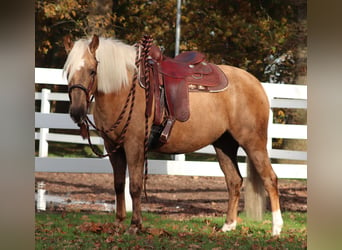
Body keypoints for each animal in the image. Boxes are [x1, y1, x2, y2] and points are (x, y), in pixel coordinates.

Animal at [63, 34, 284, 235]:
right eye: (67, 72)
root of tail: (255, 83)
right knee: (234, 181)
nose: (76, 112)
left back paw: (276, 229)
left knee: (270, 179)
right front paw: (118, 224)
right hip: (224, 145)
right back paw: (228, 226)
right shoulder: (113, 147)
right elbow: (118, 185)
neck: (123, 89)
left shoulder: (134, 145)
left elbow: (134, 186)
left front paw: (135, 226)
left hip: (253, 142)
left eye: (92, 71)